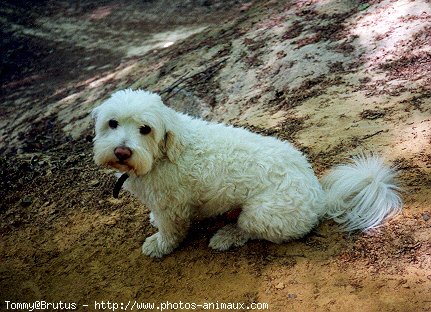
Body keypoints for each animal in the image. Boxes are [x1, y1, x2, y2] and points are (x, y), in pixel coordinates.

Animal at [93, 89, 404, 258]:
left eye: (145, 129)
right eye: (112, 123)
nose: (122, 152)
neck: (164, 152)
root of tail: (319, 197)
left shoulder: (173, 207)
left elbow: (171, 231)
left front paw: (159, 245)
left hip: (260, 214)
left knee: (250, 231)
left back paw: (227, 236)